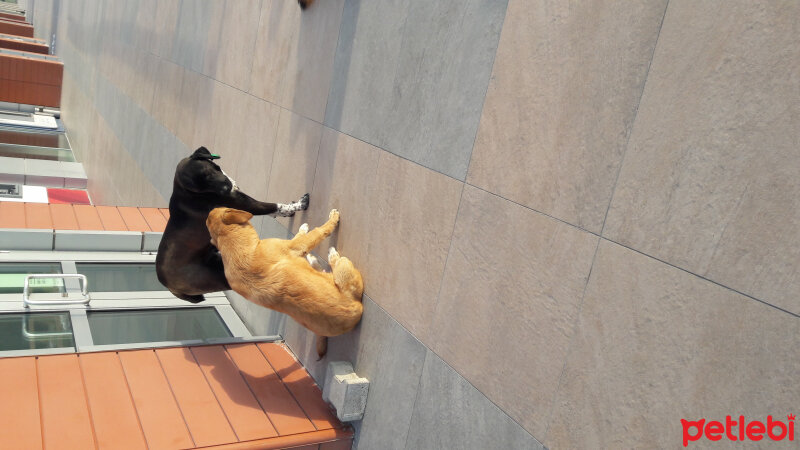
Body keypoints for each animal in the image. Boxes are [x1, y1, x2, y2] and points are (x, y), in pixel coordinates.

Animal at [156, 147, 310, 302]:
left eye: (209, 173)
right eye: (202, 188)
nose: (226, 188)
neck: (185, 191)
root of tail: (172, 289)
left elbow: (275, 211)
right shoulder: (247, 205)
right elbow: (275, 206)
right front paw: (298, 205)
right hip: (220, 276)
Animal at [209, 207, 366, 356]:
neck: (231, 247)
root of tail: (357, 309)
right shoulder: (295, 246)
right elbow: (318, 232)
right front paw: (331, 220)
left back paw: (314, 261)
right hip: (346, 267)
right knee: (336, 264)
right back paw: (331, 256)